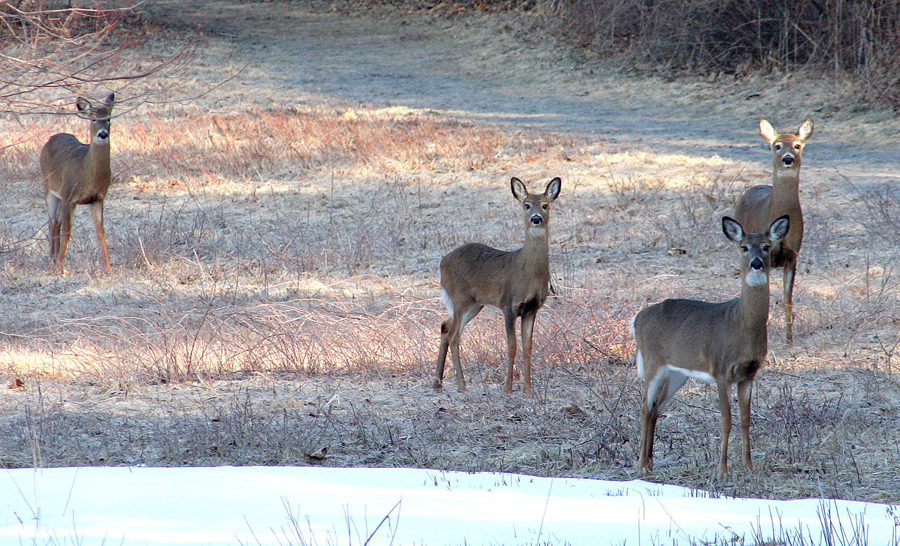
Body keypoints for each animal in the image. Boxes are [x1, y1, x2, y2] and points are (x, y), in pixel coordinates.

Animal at [40, 93, 116, 274]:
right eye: (93, 118)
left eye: (108, 118)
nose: (103, 134)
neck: (87, 172)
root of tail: (51, 138)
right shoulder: (69, 196)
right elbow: (67, 232)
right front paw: (62, 268)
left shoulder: (97, 198)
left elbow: (100, 232)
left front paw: (108, 267)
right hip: (48, 187)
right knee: (52, 222)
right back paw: (53, 261)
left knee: (56, 222)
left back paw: (54, 259)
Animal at [433, 177, 561, 395]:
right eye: (527, 205)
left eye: (545, 205)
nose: (536, 218)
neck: (527, 272)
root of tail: (443, 261)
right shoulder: (509, 305)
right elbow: (512, 346)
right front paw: (508, 389)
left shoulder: (532, 309)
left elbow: (528, 347)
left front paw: (528, 390)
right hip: (461, 298)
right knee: (453, 335)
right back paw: (461, 385)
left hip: (474, 304)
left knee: (445, 326)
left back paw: (437, 383)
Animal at [631, 214, 790, 480]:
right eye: (743, 247)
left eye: (766, 246)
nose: (756, 263)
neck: (741, 324)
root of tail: (637, 318)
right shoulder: (721, 369)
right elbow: (726, 420)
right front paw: (721, 469)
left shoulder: (749, 374)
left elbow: (745, 419)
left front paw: (749, 465)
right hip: (653, 363)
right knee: (644, 407)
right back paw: (642, 464)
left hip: (677, 374)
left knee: (655, 408)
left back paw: (650, 461)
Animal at [734, 118, 813, 344]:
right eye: (777, 146)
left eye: (797, 145)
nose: (787, 158)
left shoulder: (793, 256)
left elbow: (788, 300)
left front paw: (789, 340)